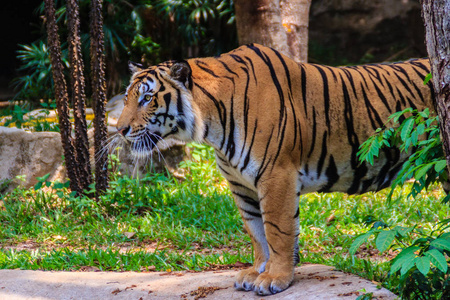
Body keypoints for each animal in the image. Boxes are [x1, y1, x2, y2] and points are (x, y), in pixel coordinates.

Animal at [116, 44, 432, 296]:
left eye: (147, 99)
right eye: (128, 98)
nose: (120, 130)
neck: (212, 125)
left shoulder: (276, 175)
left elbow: (278, 229)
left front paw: (276, 278)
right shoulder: (240, 184)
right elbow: (256, 230)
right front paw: (257, 271)